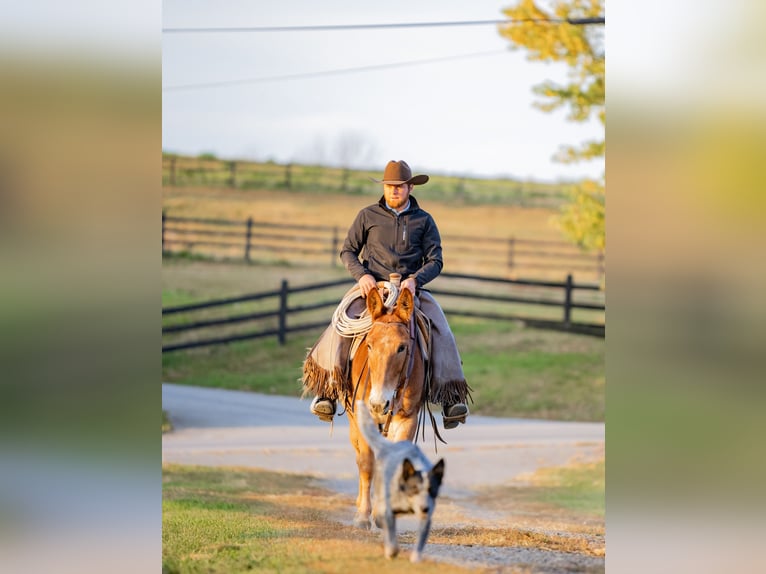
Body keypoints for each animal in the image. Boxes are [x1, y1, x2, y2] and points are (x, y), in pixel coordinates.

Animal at [356, 402, 448, 564]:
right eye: (414, 488)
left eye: (432, 490)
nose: (424, 508)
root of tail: (391, 446)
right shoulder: (388, 511)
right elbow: (391, 535)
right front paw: (391, 551)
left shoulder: (426, 518)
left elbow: (420, 540)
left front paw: (416, 558)